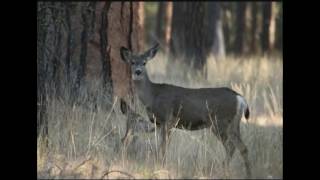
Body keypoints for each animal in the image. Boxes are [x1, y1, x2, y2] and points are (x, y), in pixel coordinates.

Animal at [120, 43, 252, 177]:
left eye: (144, 62)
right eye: (132, 62)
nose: (138, 72)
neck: (152, 96)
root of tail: (240, 98)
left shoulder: (169, 119)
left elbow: (163, 147)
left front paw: (162, 167)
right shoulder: (159, 123)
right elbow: (160, 147)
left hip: (220, 122)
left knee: (231, 146)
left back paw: (224, 170)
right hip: (232, 124)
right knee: (243, 147)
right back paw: (244, 173)